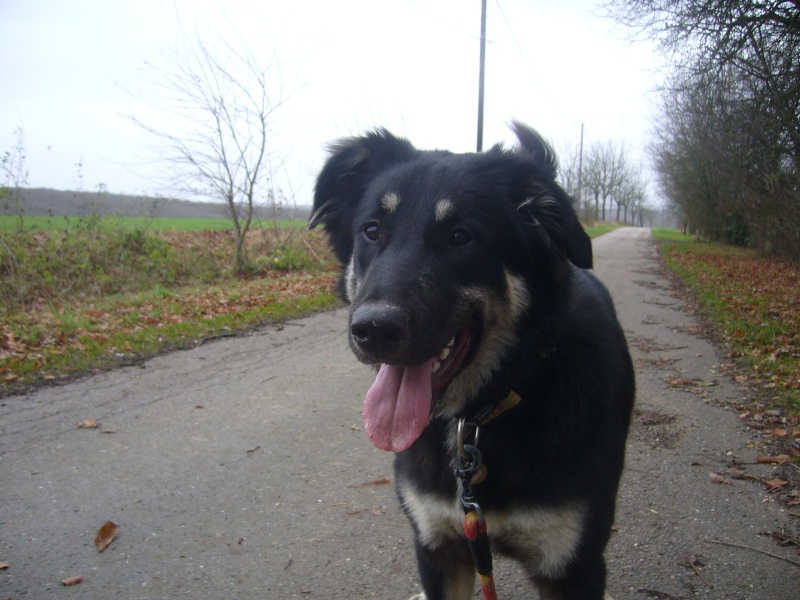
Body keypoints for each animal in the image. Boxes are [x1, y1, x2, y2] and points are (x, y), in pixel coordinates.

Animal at [310, 123, 636, 600]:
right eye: (371, 230)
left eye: (461, 236)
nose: (372, 331)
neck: (482, 412)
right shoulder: (440, 547)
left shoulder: (571, 568)